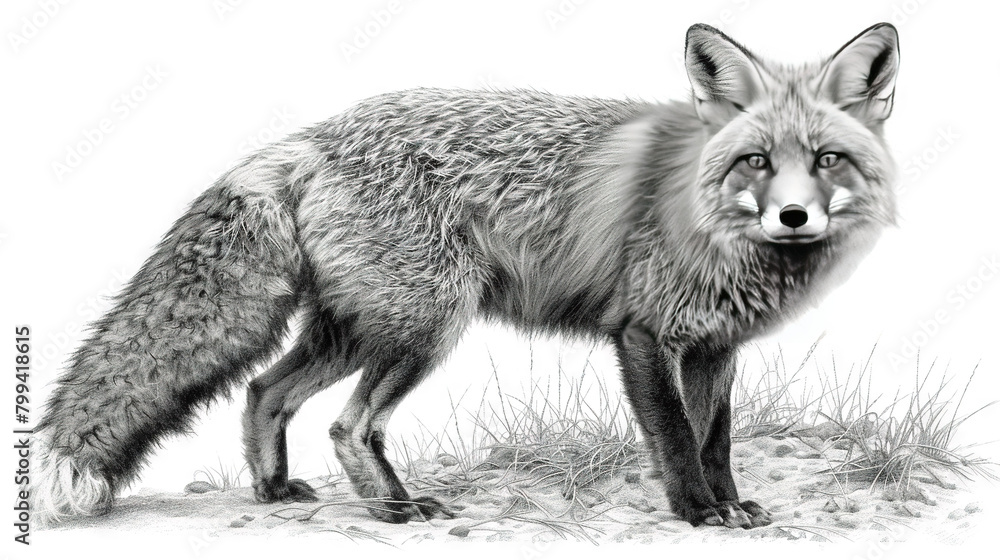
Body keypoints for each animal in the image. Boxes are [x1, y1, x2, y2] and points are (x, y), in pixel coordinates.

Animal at [34, 22, 899, 529]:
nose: (794, 217)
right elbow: (679, 439)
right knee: (349, 424)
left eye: (828, 159)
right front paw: (695, 512)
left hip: (356, 330)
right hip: (424, 326)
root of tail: (314, 136)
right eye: (757, 161)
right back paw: (393, 508)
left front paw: (729, 503)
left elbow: (716, 438)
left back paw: (275, 491)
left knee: (263, 390)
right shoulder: (644, 335)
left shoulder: (717, 346)